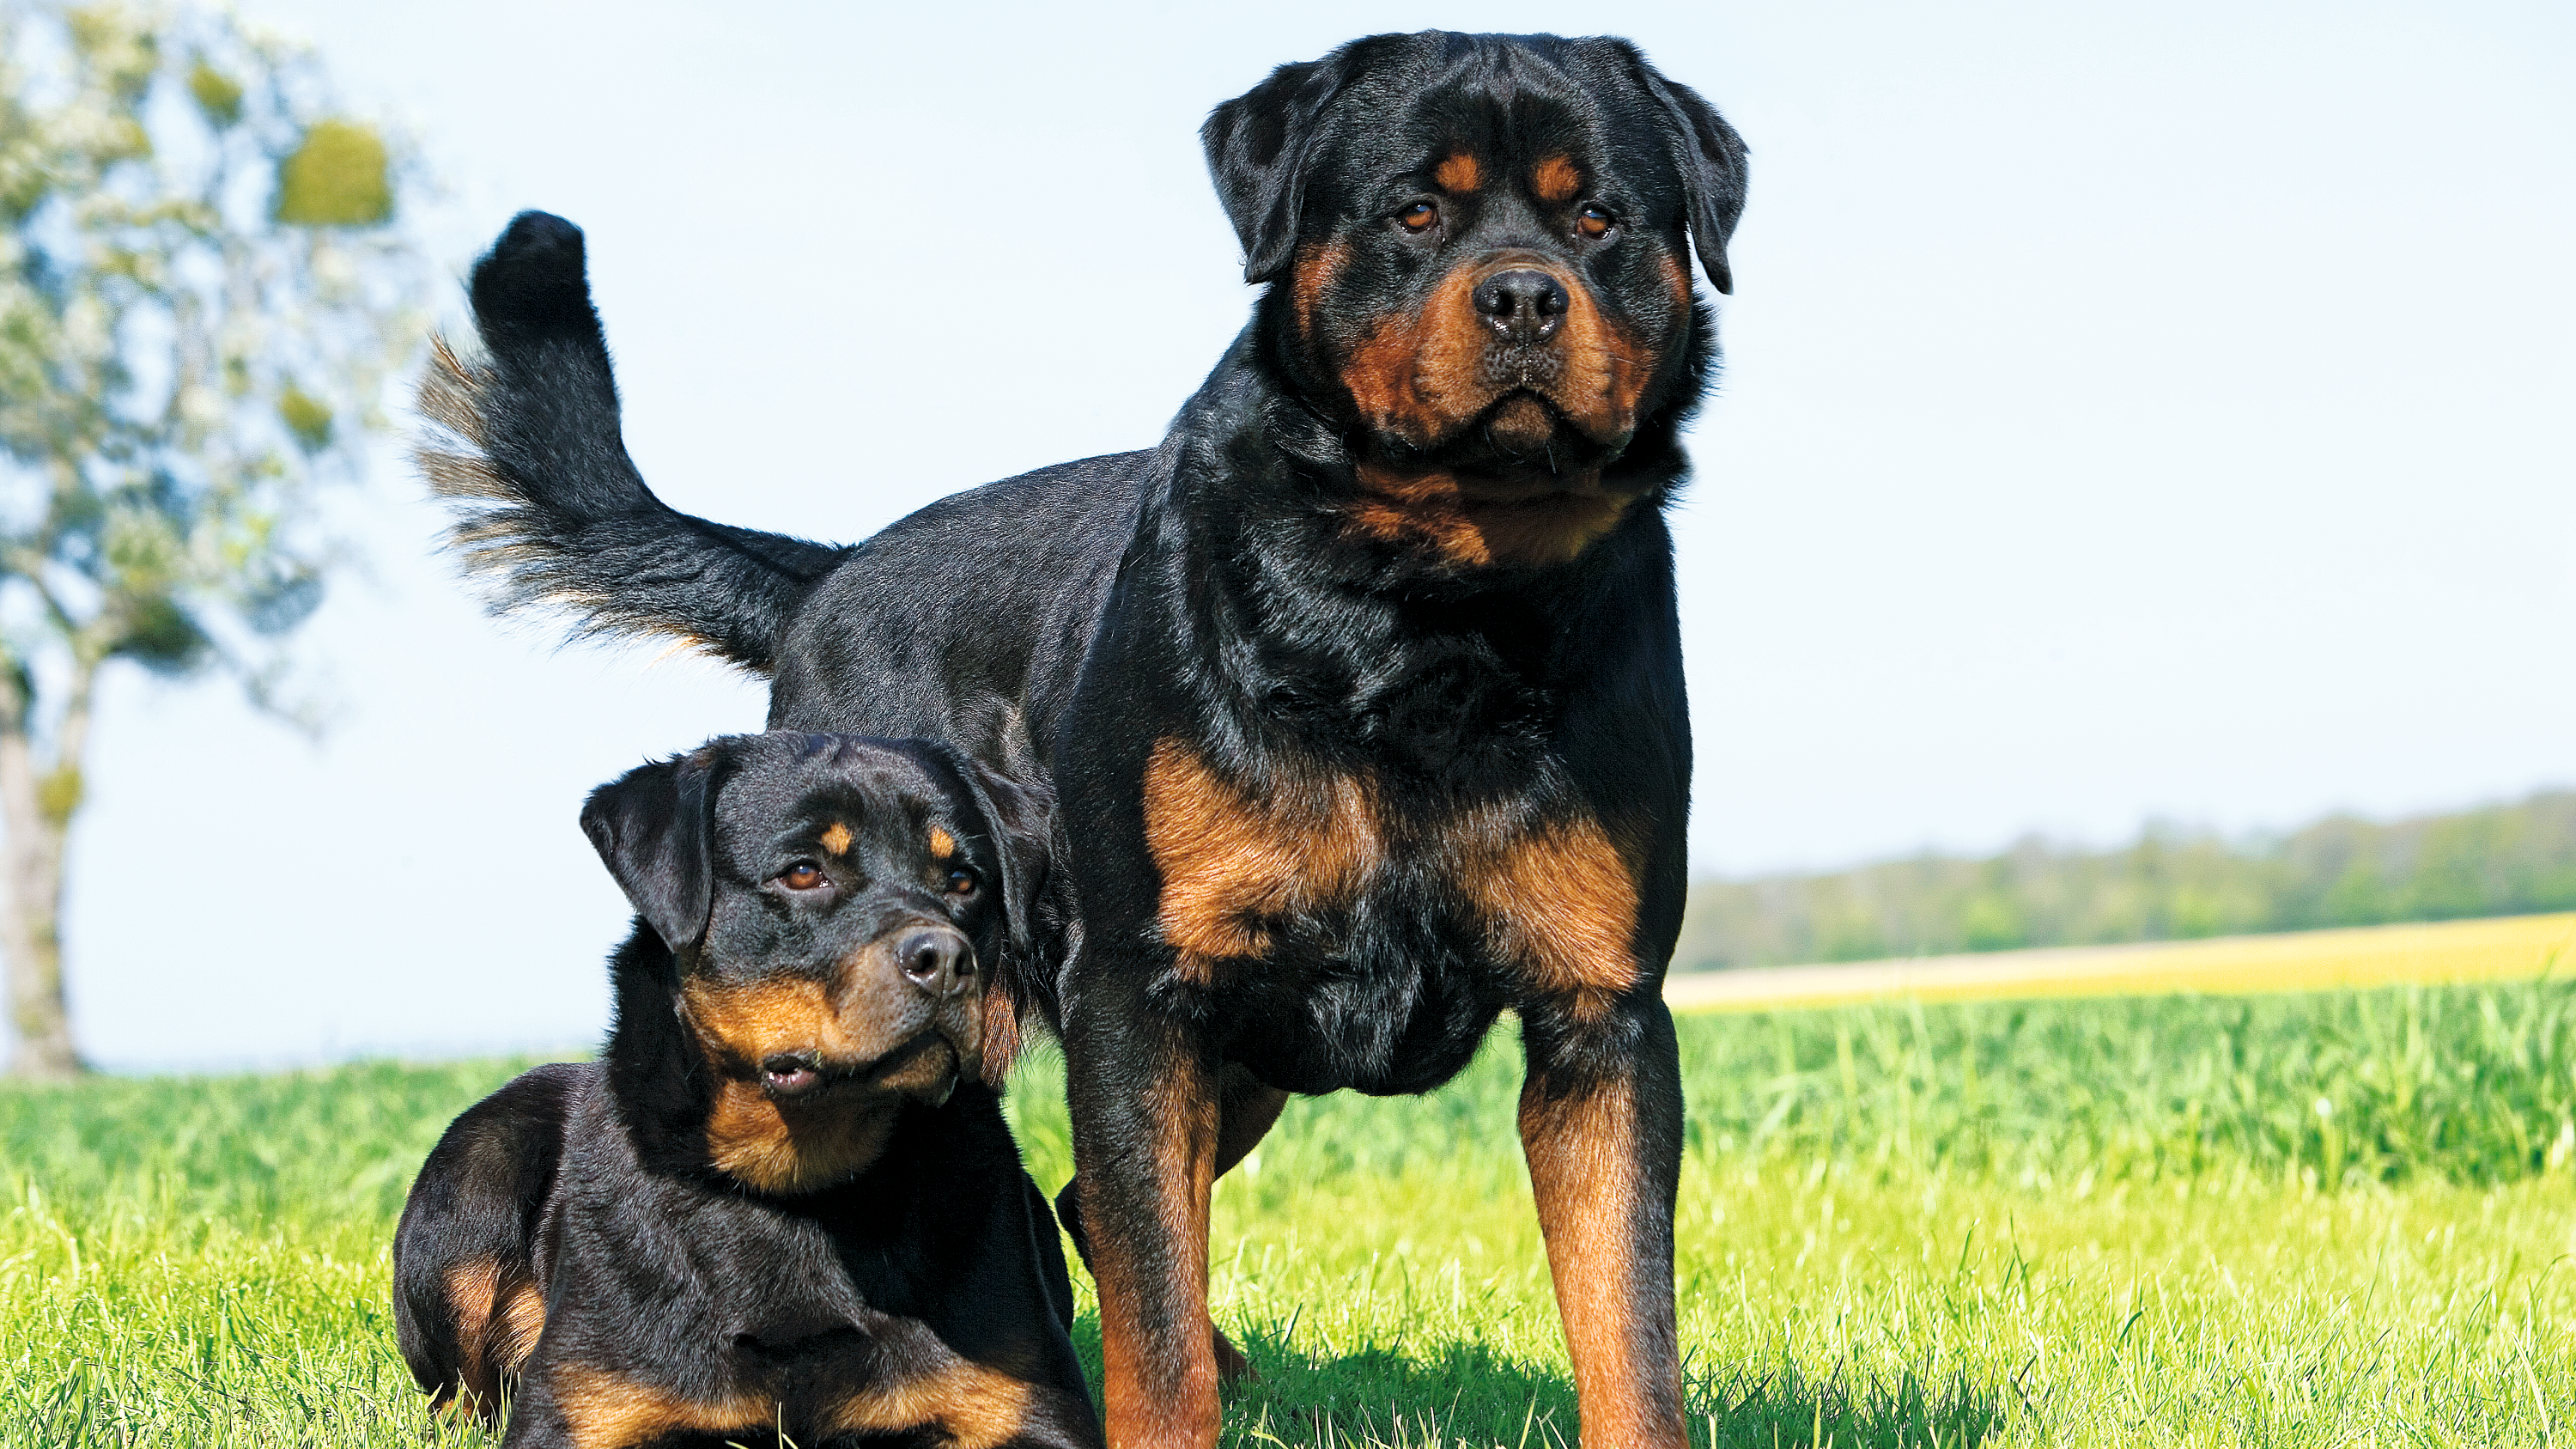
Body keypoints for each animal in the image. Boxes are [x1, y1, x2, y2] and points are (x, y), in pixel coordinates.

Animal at [392, 732, 1097, 1443]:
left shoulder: (1028, 1399)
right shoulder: (581, 1409)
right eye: (803, 872)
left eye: (963, 880)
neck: (804, 1187)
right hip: (474, 1177)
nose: (946, 959)